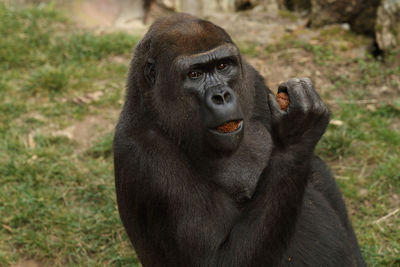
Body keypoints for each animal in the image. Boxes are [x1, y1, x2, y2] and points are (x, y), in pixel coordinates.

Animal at [113, 13, 366, 267]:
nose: (222, 96)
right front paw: (297, 136)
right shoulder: (146, 154)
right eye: (195, 74)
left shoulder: (252, 79)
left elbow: (315, 170)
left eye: (222, 66)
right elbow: (217, 259)